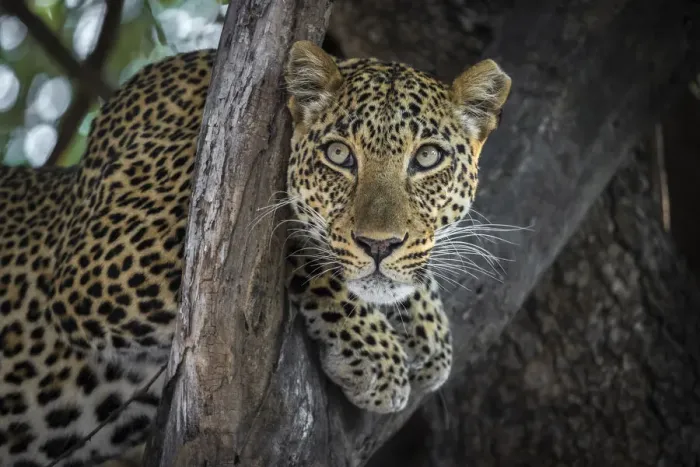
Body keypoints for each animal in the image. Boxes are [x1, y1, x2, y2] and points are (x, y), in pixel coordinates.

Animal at [0, 41, 510, 466]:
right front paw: (376, 354)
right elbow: (292, 234)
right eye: (339, 155)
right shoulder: (106, 256)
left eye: (427, 158)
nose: (379, 244)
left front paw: (428, 328)